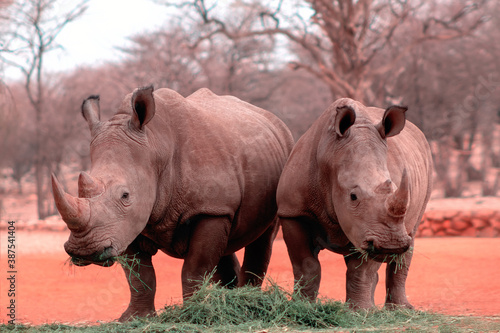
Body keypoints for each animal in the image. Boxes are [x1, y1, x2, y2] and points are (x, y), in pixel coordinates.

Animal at [51, 85, 292, 320]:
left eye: (125, 195)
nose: (84, 250)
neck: (155, 146)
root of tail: (274, 119)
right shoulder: (127, 224)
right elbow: (139, 275)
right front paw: (135, 318)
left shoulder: (209, 210)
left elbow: (195, 268)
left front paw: (192, 313)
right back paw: (228, 302)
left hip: (280, 158)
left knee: (263, 237)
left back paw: (248, 302)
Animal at [278, 96, 434, 308]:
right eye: (353, 196)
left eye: (393, 188)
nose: (391, 245)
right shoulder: (292, 211)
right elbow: (306, 265)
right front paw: (301, 306)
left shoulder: (372, 229)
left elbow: (361, 271)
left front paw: (359, 311)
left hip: (427, 168)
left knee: (410, 234)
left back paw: (399, 310)